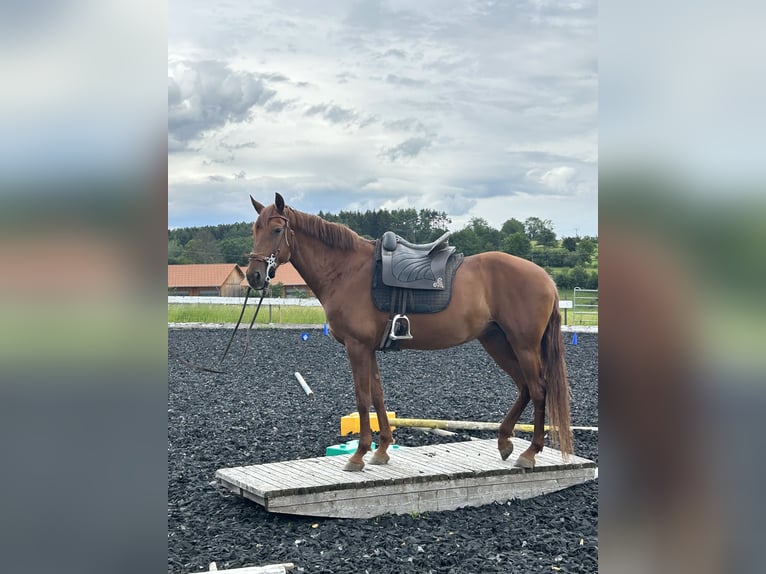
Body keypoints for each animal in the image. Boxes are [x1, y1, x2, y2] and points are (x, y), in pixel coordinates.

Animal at [249, 194, 572, 472]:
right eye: (255, 229)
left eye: (276, 229)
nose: (254, 275)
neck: (346, 271)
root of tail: (546, 278)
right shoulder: (369, 348)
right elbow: (378, 395)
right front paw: (381, 449)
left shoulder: (357, 347)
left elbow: (362, 397)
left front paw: (358, 455)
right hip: (497, 342)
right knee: (525, 387)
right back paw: (504, 441)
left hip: (524, 345)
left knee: (539, 390)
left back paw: (530, 452)